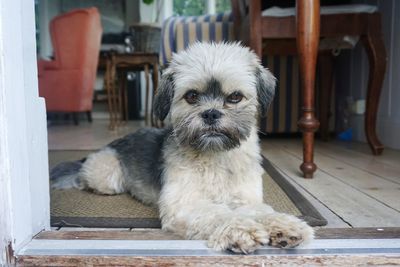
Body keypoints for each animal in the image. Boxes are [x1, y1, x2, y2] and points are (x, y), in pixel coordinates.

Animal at [51, 42, 314, 253]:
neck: (215, 158)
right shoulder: (185, 205)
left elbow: (262, 211)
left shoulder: (245, 200)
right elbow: (218, 213)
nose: (211, 114)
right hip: (107, 176)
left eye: (235, 97)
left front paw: (284, 226)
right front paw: (240, 230)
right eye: (192, 96)